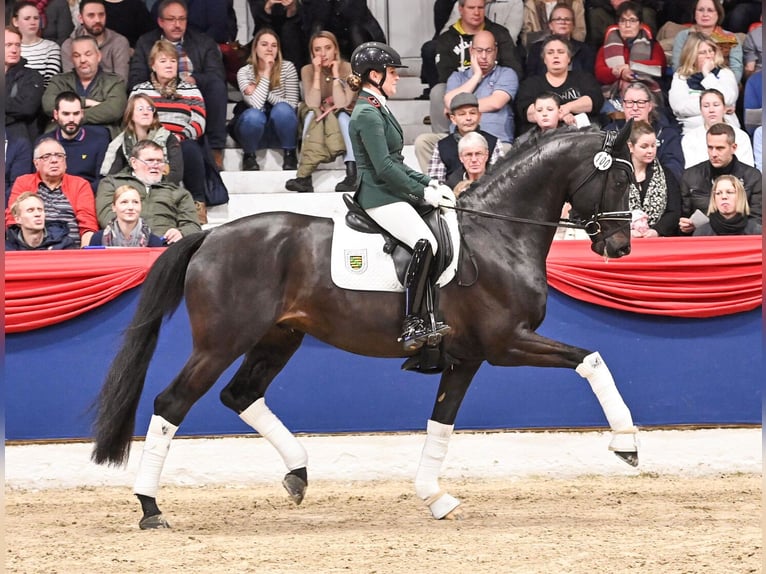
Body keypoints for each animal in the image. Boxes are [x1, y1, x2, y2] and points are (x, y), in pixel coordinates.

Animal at [92, 123, 639, 529]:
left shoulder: (467, 357)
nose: (620, 247)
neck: (498, 233)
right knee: (172, 403)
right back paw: (150, 508)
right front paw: (627, 445)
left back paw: (298, 473)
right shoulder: (508, 343)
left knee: (240, 395)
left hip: (278, 337)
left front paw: (434, 497)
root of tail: (209, 235)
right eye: (618, 181)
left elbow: (441, 424)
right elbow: (592, 361)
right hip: (221, 343)